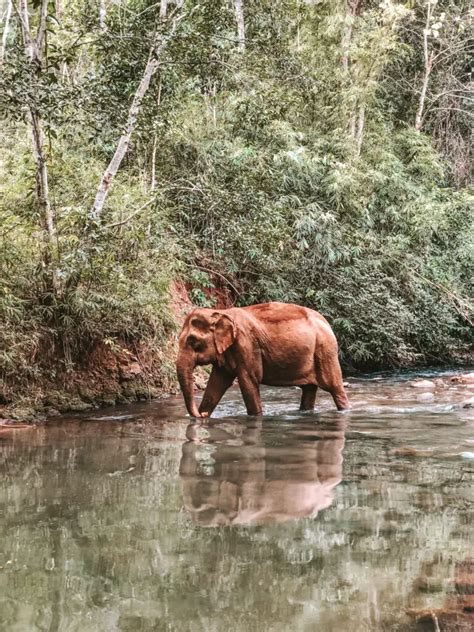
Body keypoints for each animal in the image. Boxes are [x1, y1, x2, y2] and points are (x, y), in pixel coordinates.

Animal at [176, 302, 350, 420]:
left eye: (192, 341)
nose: (202, 414)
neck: (220, 312)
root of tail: (327, 323)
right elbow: (216, 383)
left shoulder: (247, 345)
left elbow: (249, 381)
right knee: (309, 389)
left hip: (325, 351)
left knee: (334, 387)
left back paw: (345, 410)